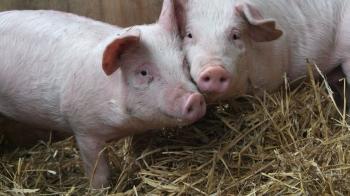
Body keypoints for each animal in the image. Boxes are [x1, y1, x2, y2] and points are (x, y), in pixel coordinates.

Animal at [0, 0, 206, 188]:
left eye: (184, 63)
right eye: (143, 72)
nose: (195, 98)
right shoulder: (83, 128)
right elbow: (97, 170)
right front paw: (100, 188)